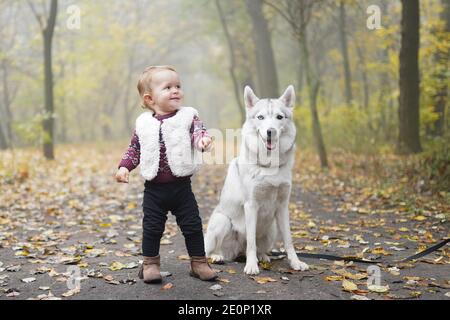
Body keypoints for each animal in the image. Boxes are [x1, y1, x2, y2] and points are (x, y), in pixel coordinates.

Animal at [205, 85, 308, 276]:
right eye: (260, 117)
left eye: (279, 117)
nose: (270, 131)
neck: (269, 165)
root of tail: (237, 253)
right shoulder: (251, 205)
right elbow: (251, 241)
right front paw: (251, 266)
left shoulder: (283, 206)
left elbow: (289, 241)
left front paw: (295, 262)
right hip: (222, 221)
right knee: (213, 250)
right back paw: (218, 256)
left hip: (272, 228)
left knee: (259, 248)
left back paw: (263, 256)